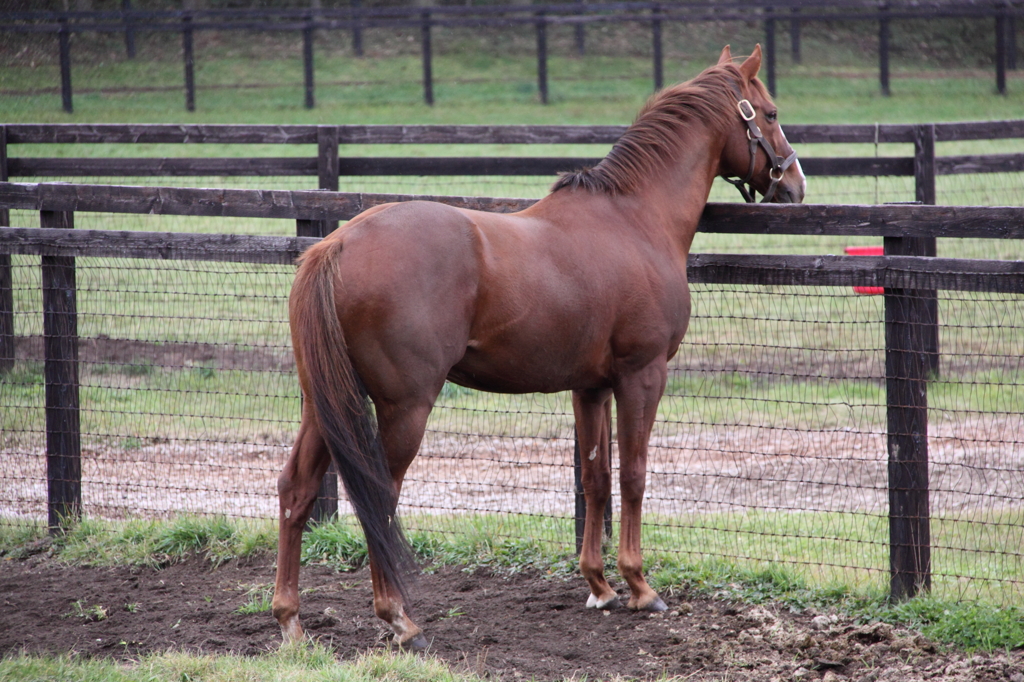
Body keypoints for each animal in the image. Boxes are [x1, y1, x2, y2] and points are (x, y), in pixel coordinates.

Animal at [272, 43, 806, 647]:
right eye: (770, 113)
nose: (796, 183)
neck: (635, 218)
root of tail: (337, 244)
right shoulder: (642, 375)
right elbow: (634, 473)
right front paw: (640, 586)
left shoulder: (591, 387)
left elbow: (595, 478)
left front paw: (599, 585)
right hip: (403, 406)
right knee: (379, 496)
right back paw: (399, 618)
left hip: (327, 402)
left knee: (296, 488)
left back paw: (290, 620)